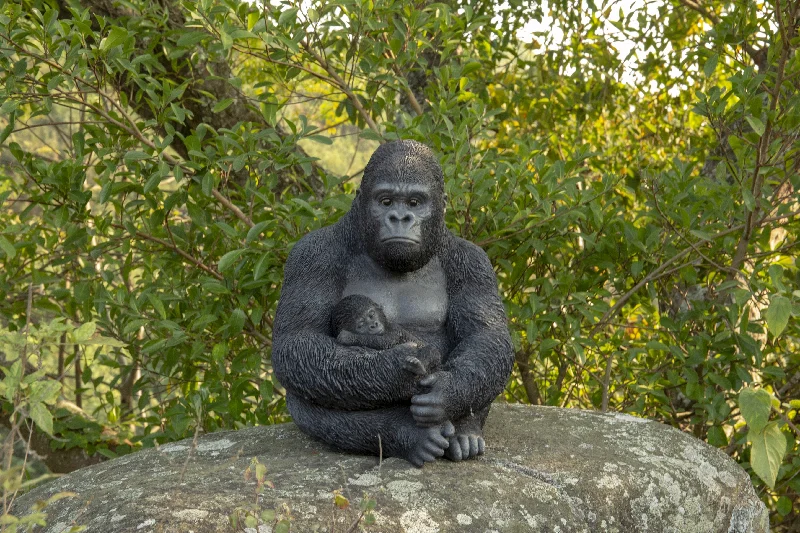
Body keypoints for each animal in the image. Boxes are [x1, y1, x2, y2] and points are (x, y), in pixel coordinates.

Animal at [274, 139, 512, 464]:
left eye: (414, 203)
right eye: (385, 201)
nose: (400, 218)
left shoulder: (474, 263)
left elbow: (486, 336)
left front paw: (445, 392)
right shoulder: (310, 255)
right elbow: (298, 340)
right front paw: (399, 374)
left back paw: (466, 431)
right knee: (307, 386)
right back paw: (409, 435)